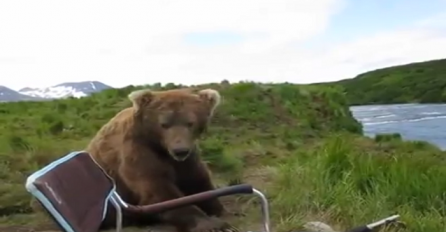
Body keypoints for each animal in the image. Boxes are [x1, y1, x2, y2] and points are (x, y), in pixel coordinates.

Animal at [83, 87, 237, 232]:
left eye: (190, 123)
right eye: (164, 124)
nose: (180, 150)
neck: (161, 147)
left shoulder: (188, 159)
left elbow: (197, 180)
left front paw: (218, 208)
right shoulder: (138, 151)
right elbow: (159, 190)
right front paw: (213, 224)